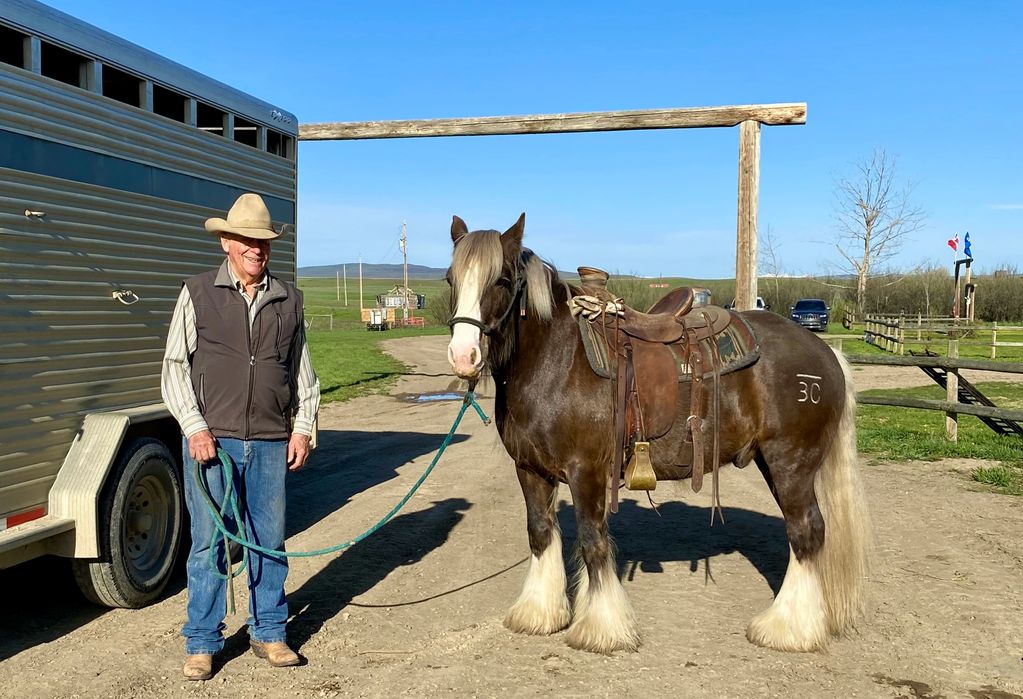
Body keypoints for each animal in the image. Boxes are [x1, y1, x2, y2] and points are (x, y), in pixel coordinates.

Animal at [444, 213, 871, 654]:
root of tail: (826, 353)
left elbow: (593, 541)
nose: (463, 356)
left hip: (791, 464)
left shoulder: (586, 471)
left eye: (501, 279)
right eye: (450, 279)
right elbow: (541, 534)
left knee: (806, 531)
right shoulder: (531, 470)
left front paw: (602, 628)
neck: (556, 361)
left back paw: (788, 628)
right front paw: (539, 613)